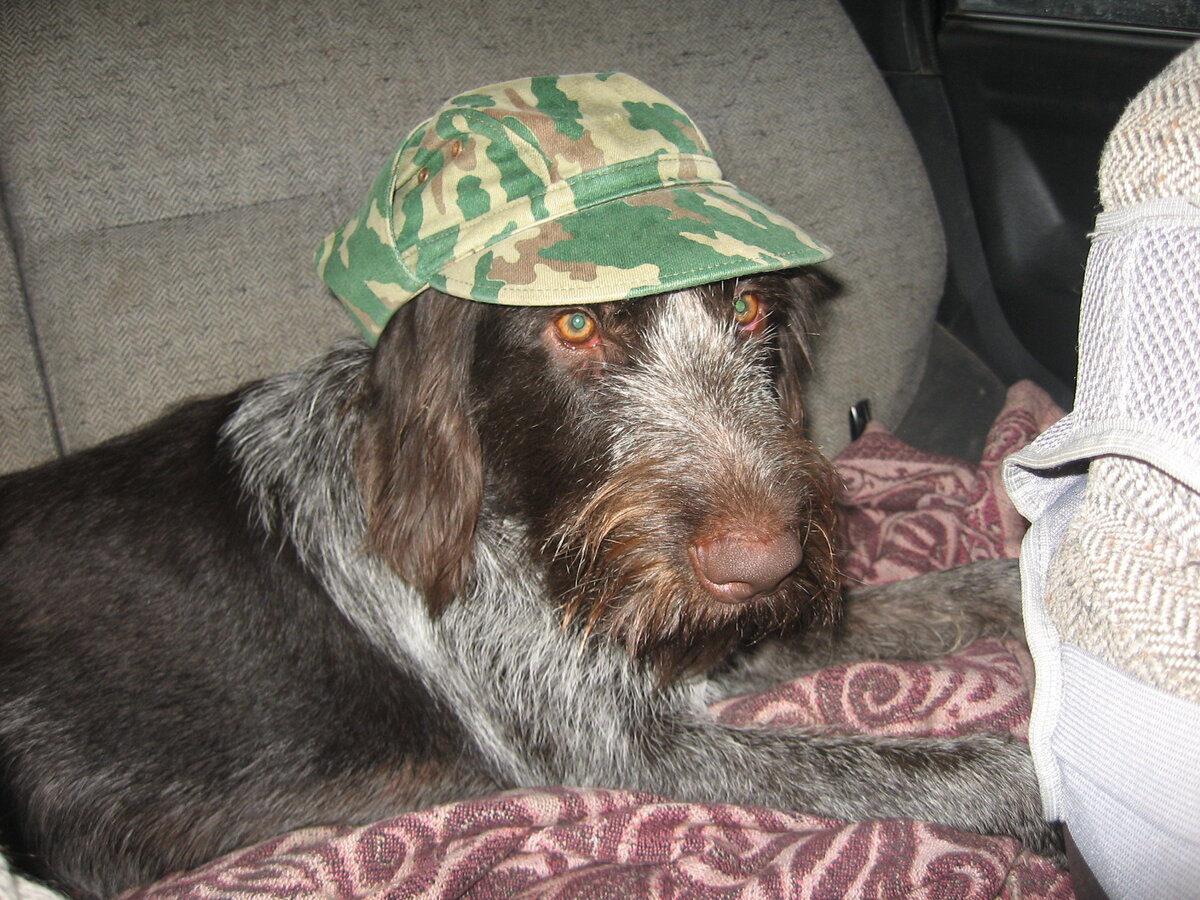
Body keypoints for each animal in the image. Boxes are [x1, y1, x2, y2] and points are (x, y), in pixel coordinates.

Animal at [0, 270, 1056, 899]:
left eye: (748, 309)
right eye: (576, 323)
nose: (765, 561)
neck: (518, 514)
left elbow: (928, 598)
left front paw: (1025, 590)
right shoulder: (621, 751)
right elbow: (916, 770)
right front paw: (1043, 780)